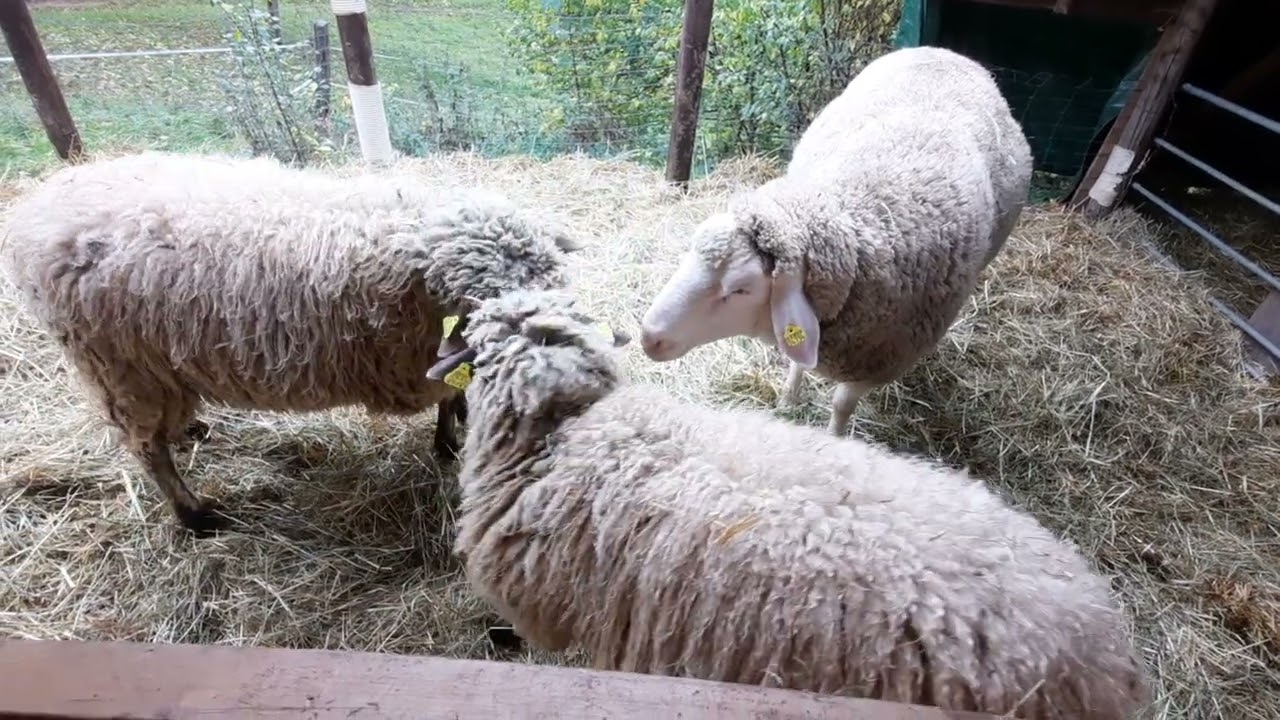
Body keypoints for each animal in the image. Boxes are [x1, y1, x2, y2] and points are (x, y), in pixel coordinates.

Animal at [0, 150, 584, 536]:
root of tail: (39, 208)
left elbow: (453, 392)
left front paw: (455, 425)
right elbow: (447, 395)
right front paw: (448, 442)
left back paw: (192, 431)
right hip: (120, 367)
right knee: (146, 448)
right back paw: (195, 515)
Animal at [637, 46, 1034, 437]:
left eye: (740, 290)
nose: (648, 336)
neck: (852, 216)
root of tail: (947, 51)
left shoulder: (877, 360)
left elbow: (842, 405)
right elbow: (797, 361)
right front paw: (788, 399)